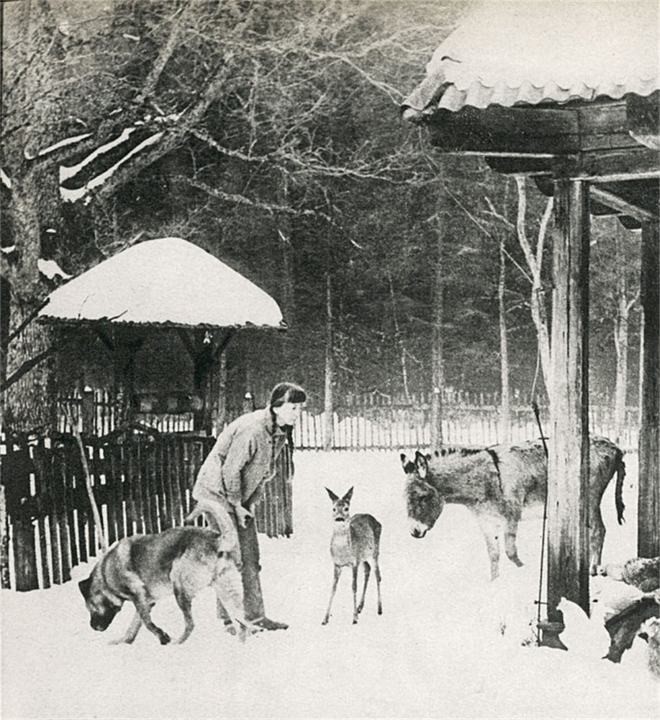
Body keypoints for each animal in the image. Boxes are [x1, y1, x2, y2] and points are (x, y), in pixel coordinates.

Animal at [77, 524, 253, 644]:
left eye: (90, 608)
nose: (93, 627)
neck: (105, 576)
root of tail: (216, 540)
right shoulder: (147, 601)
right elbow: (134, 627)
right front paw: (124, 642)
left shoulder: (138, 596)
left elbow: (147, 623)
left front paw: (163, 637)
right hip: (227, 593)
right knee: (243, 620)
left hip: (179, 589)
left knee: (190, 624)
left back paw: (177, 643)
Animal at [320, 486, 382, 628]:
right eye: (334, 508)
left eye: (346, 508)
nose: (339, 519)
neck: (343, 552)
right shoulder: (336, 564)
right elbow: (333, 588)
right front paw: (325, 618)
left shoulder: (354, 563)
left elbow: (354, 586)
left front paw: (354, 619)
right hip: (364, 557)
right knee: (368, 570)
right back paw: (360, 607)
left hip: (375, 552)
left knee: (378, 575)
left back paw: (379, 608)